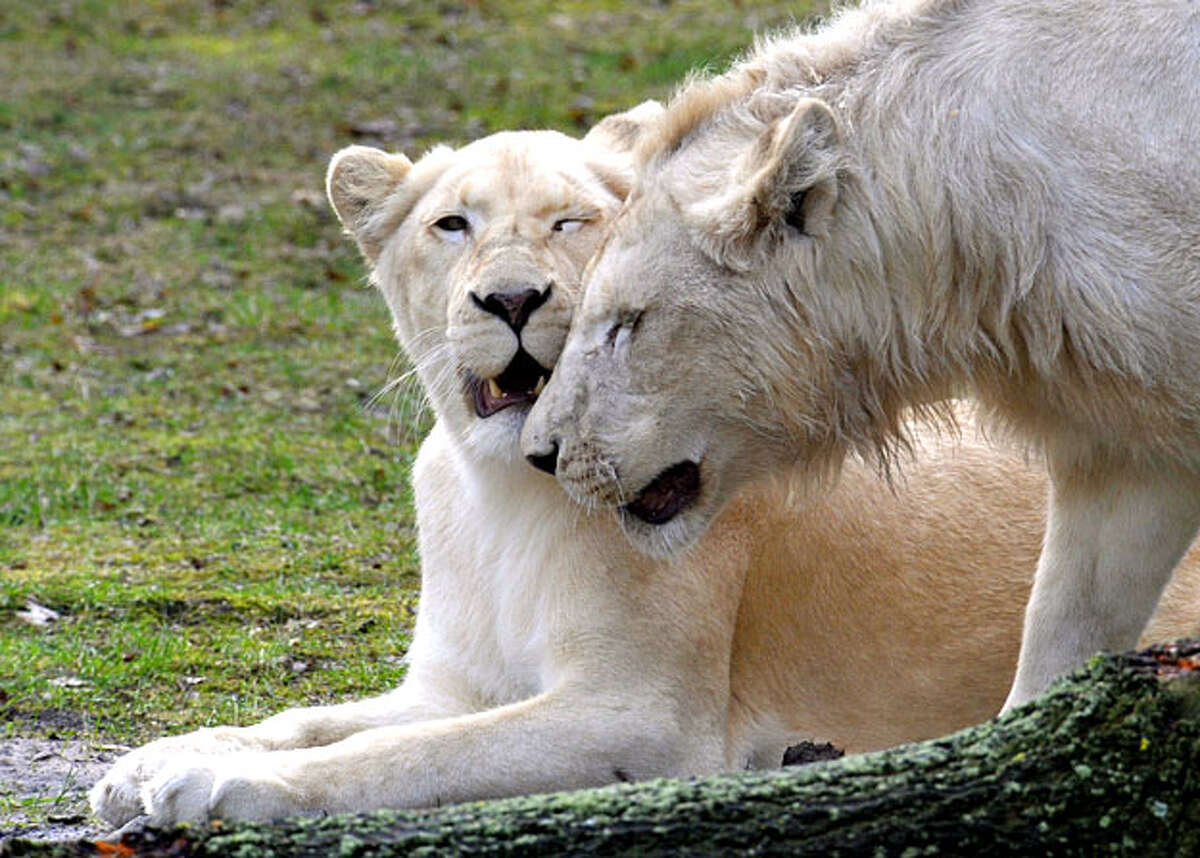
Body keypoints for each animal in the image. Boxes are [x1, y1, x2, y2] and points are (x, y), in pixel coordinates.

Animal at [91, 103, 1200, 830]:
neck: (501, 496)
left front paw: (224, 788)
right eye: (452, 224)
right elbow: (314, 719)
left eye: (572, 221)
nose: (512, 298)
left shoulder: (642, 715)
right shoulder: (456, 681)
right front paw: (152, 763)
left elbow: (403, 754)